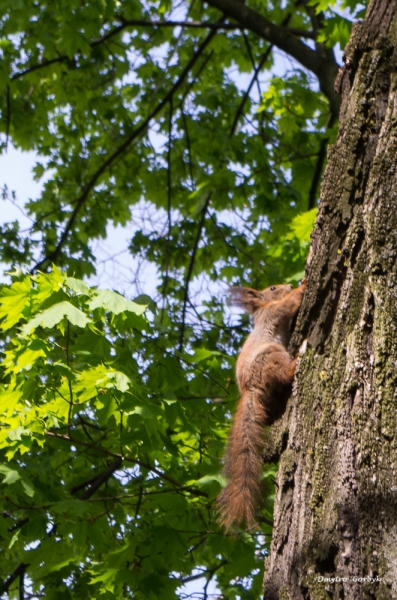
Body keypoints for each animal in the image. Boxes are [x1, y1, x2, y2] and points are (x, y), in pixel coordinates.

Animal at [218, 278, 304, 528]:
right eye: (273, 289)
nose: (288, 284)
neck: (261, 310)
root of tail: (251, 390)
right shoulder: (274, 312)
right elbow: (290, 304)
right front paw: (302, 286)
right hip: (271, 355)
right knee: (284, 374)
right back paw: (295, 362)